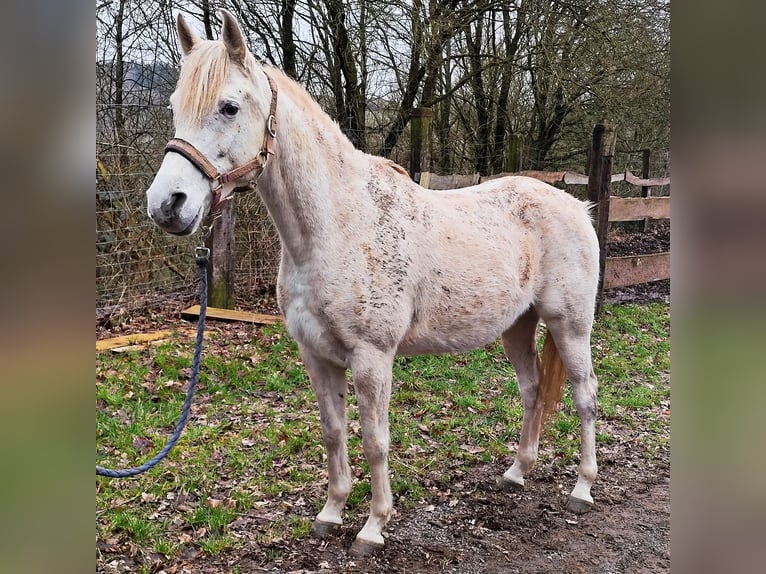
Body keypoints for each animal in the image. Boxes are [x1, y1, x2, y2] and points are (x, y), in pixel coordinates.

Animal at [147, 9, 604, 560]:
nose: (166, 205)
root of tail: (577, 206)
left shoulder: (372, 358)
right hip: (518, 325)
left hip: (569, 325)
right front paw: (330, 514)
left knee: (585, 394)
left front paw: (373, 527)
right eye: (174, 106)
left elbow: (374, 440)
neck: (337, 226)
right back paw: (516, 472)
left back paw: (582, 488)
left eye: (229, 106)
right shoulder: (316, 356)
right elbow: (333, 433)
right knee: (533, 388)